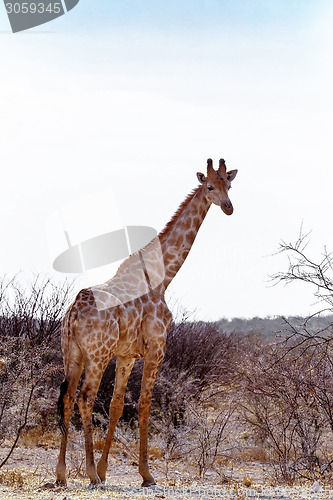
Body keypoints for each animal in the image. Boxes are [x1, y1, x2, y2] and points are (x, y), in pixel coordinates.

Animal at [55, 158, 236, 486]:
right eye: (209, 186)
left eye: (229, 184)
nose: (228, 207)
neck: (163, 276)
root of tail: (73, 311)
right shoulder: (156, 348)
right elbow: (144, 405)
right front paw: (146, 474)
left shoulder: (126, 355)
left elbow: (116, 405)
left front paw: (106, 468)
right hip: (97, 355)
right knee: (86, 398)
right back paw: (90, 474)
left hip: (72, 354)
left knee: (68, 398)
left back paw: (62, 474)